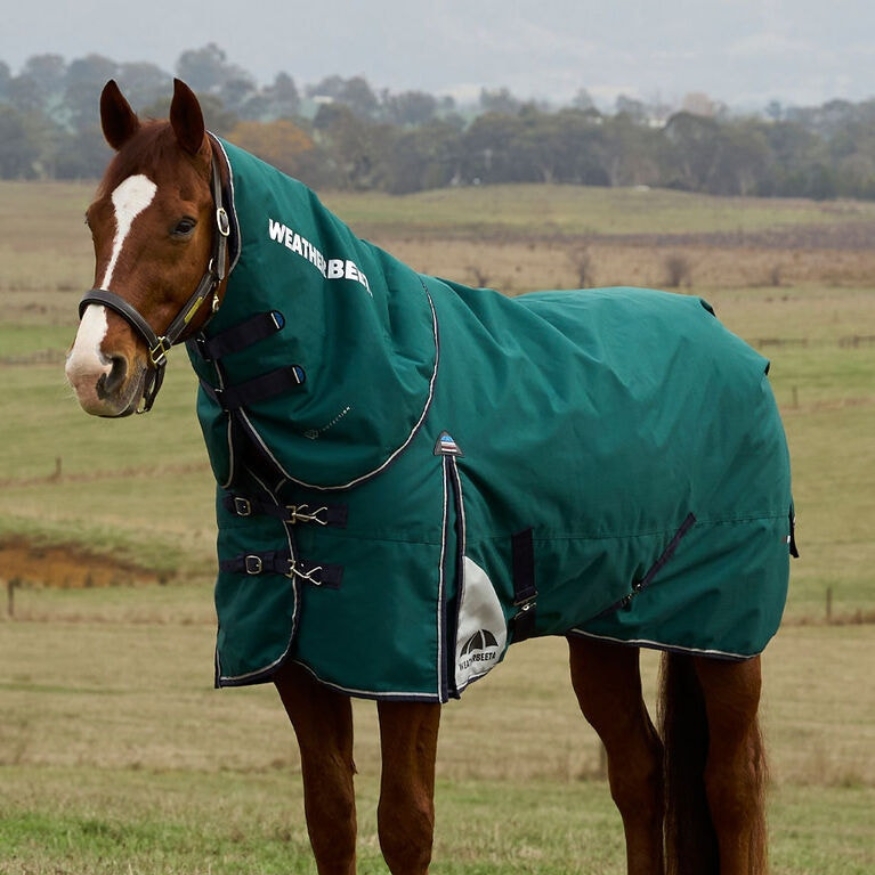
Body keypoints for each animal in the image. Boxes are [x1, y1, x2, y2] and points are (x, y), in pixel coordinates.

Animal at [66, 79, 796, 875]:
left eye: (182, 222)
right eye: (95, 217)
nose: (94, 372)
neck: (369, 393)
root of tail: (724, 336)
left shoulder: (409, 666)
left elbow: (405, 825)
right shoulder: (300, 659)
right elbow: (331, 816)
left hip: (725, 641)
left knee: (730, 787)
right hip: (604, 628)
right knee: (640, 773)